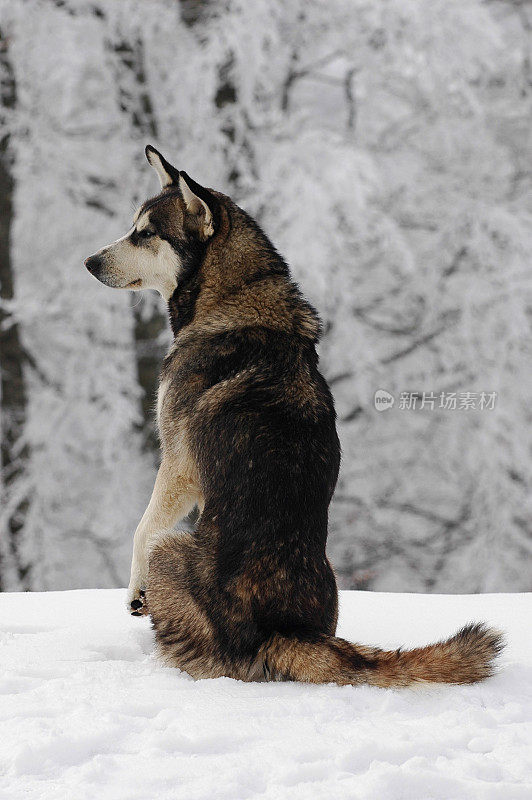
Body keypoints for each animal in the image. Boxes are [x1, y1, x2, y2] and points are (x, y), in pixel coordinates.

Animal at [84, 145, 502, 688]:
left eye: (145, 233)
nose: (88, 261)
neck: (235, 299)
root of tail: (281, 632)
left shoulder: (178, 465)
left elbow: (141, 528)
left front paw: (133, 594)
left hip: (173, 550)